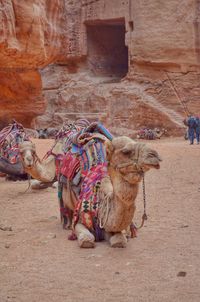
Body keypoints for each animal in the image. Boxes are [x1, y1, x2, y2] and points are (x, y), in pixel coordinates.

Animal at [19, 136, 161, 249]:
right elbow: (86, 238)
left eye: (33, 152)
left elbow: (119, 240)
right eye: (126, 151)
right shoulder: (79, 220)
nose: (154, 156)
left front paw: (124, 235)